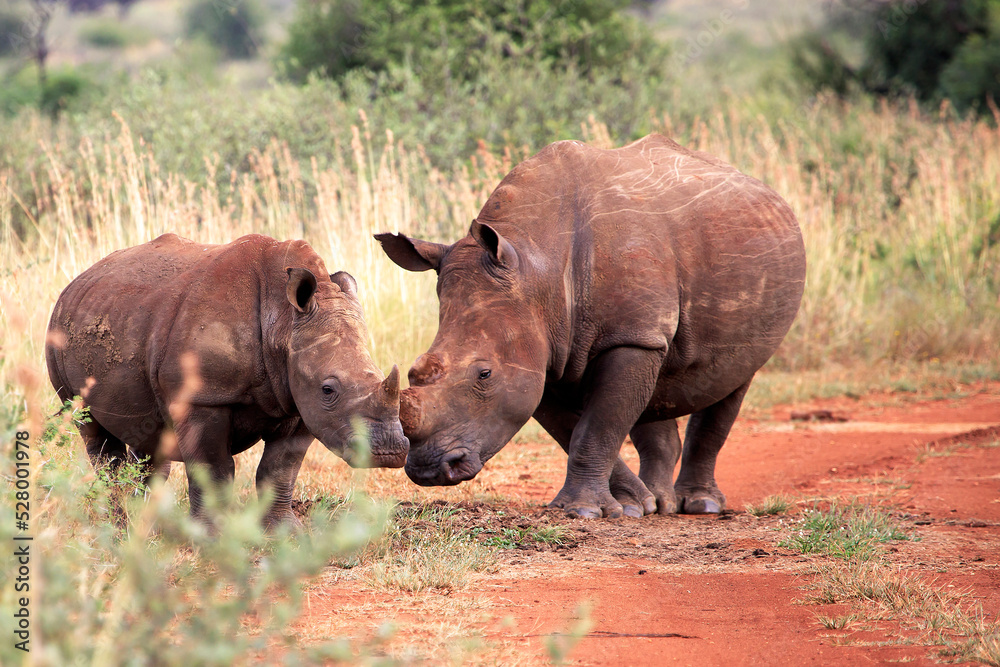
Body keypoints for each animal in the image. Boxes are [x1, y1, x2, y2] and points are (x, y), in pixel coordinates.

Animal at [46, 233, 408, 527]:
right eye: (328, 389)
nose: (389, 451)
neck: (283, 320)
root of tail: (75, 282)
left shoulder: (298, 400)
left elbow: (280, 469)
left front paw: (284, 532)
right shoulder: (204, 398)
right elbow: (214, 469)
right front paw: (210, 536)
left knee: (146, 434)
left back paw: (146, 523)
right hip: (58, 334)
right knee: (92, 430)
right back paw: (119, 525)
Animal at [376, 134, 805, 519]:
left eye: (484, 374)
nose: (430, 469)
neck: (538, 268)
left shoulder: (629, 338)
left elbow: (595, 426)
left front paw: (584, 511)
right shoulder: (543, 349)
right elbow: (577, 428)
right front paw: (632, 505)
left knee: (734, 379)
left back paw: (701, 506)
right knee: (658, 391)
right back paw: (661, 504)